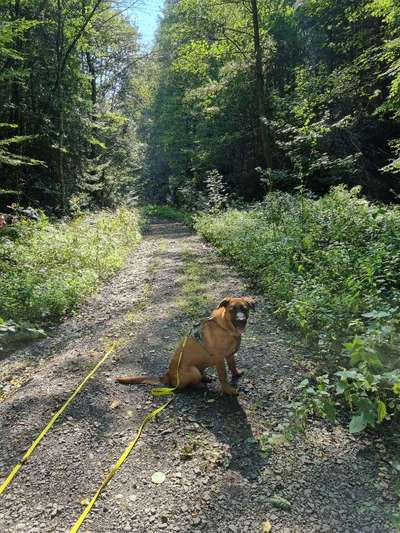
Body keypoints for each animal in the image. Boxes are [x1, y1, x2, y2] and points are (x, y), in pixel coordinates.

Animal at [116, 296, 256, 394]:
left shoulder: (230, 355)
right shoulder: (219, 359)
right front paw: (228, 390)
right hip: (193, 371)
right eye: (232, 310)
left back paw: (205, 378)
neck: (225, 327)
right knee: (186, 386)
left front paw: (236, 374)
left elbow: (232, 366)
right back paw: (200, 385)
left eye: (245, 308)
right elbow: (223, 377)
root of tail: (167, 376)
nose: (241, 320)